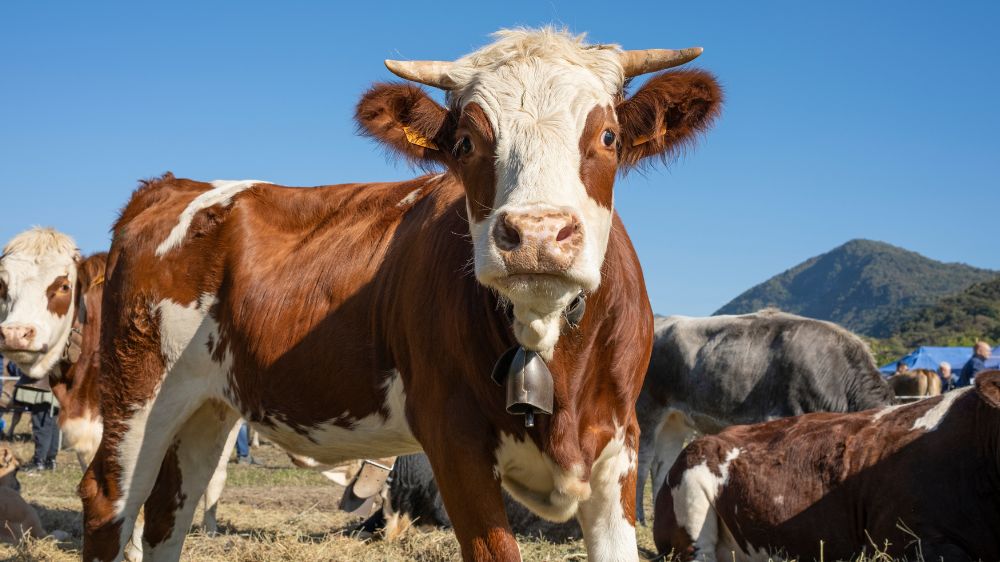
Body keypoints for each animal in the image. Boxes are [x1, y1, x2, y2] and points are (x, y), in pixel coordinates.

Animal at [78, 28, 720, 560]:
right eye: (465, 143)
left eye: (607, 135)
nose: (537, 234)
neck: (547, 340)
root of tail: (170, 185)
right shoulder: (453, 444)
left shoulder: (618, 450)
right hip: (139, 387)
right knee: (110, 497)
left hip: (207, 405)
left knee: (171, 509)